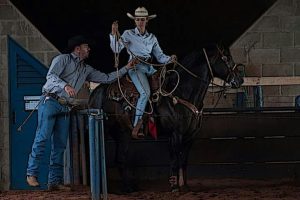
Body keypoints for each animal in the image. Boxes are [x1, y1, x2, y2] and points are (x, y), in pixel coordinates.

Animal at [88, 45, 244, 192]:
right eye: (226, 58)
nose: (240, 80)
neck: (181, 92)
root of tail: (97, 92)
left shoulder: (190, 136)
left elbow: (183, 161)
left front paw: (184, 186)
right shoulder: (176, 134)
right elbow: (174, 161)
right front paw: (174, 187)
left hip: (122, 134)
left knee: (120, 159)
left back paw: (128, 188)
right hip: (109, 131)